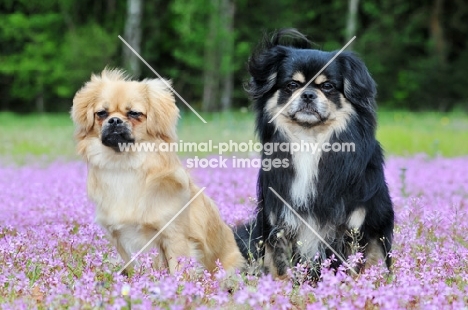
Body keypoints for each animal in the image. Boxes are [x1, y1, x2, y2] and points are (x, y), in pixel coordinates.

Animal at [71, 69, 245, 274]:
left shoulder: (174, 237)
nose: (114, 120)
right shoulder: (120, 240)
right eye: (101, 113)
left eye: (134, 113)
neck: (124, 164)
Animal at [234, 30, 394, 280]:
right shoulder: (279, 223)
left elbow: (353, 266)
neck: (310, 140)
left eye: (327, 86)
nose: (308, 94)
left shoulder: (355, 226)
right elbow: (281, 266)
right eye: (292, 85)